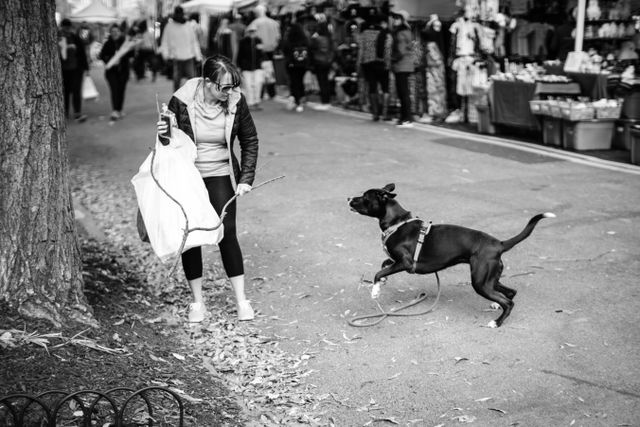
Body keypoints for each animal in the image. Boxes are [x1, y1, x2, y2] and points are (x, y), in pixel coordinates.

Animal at [348, 183, 552, 328]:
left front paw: (375, 290)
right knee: (510, 292)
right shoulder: (396, 261)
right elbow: (384, 264)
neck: (397, 222)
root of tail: (499, 244)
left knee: (509, 302)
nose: (348, 197)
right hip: (489, 278)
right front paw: (381, 284)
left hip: (479, 282)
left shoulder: (405, 263)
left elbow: (379, 272)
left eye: (364, 197)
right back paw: (496, 306)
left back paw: (497, 322)